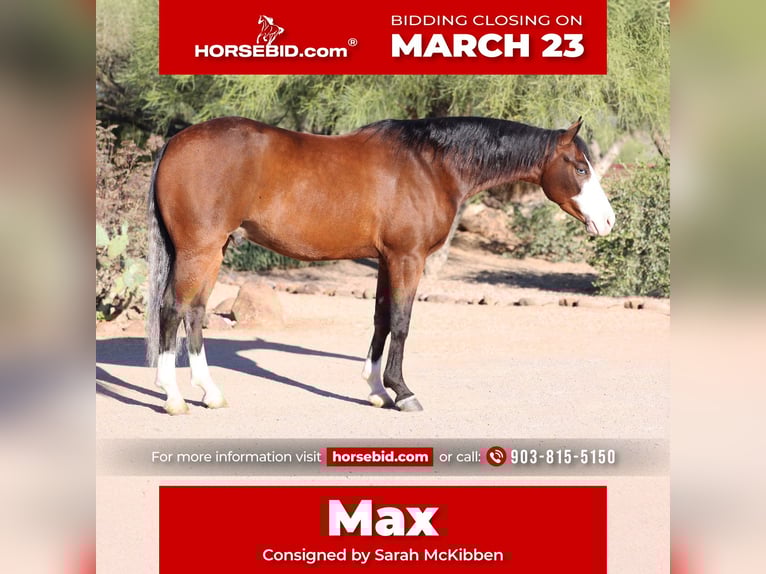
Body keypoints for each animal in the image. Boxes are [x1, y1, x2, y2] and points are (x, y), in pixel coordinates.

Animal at [146, 116, 615, 415]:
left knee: (194, 313)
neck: (430, 164)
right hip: (199, 250)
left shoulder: (387, 259)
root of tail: (174, 143)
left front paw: (376, 389)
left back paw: (210, 393)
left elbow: (381, 320)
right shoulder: (408, 257)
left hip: (214, 250)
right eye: (580, 168)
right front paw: (403, 392)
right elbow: (402, 323)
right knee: (172, 310)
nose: (608, 221)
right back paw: (173, 397)